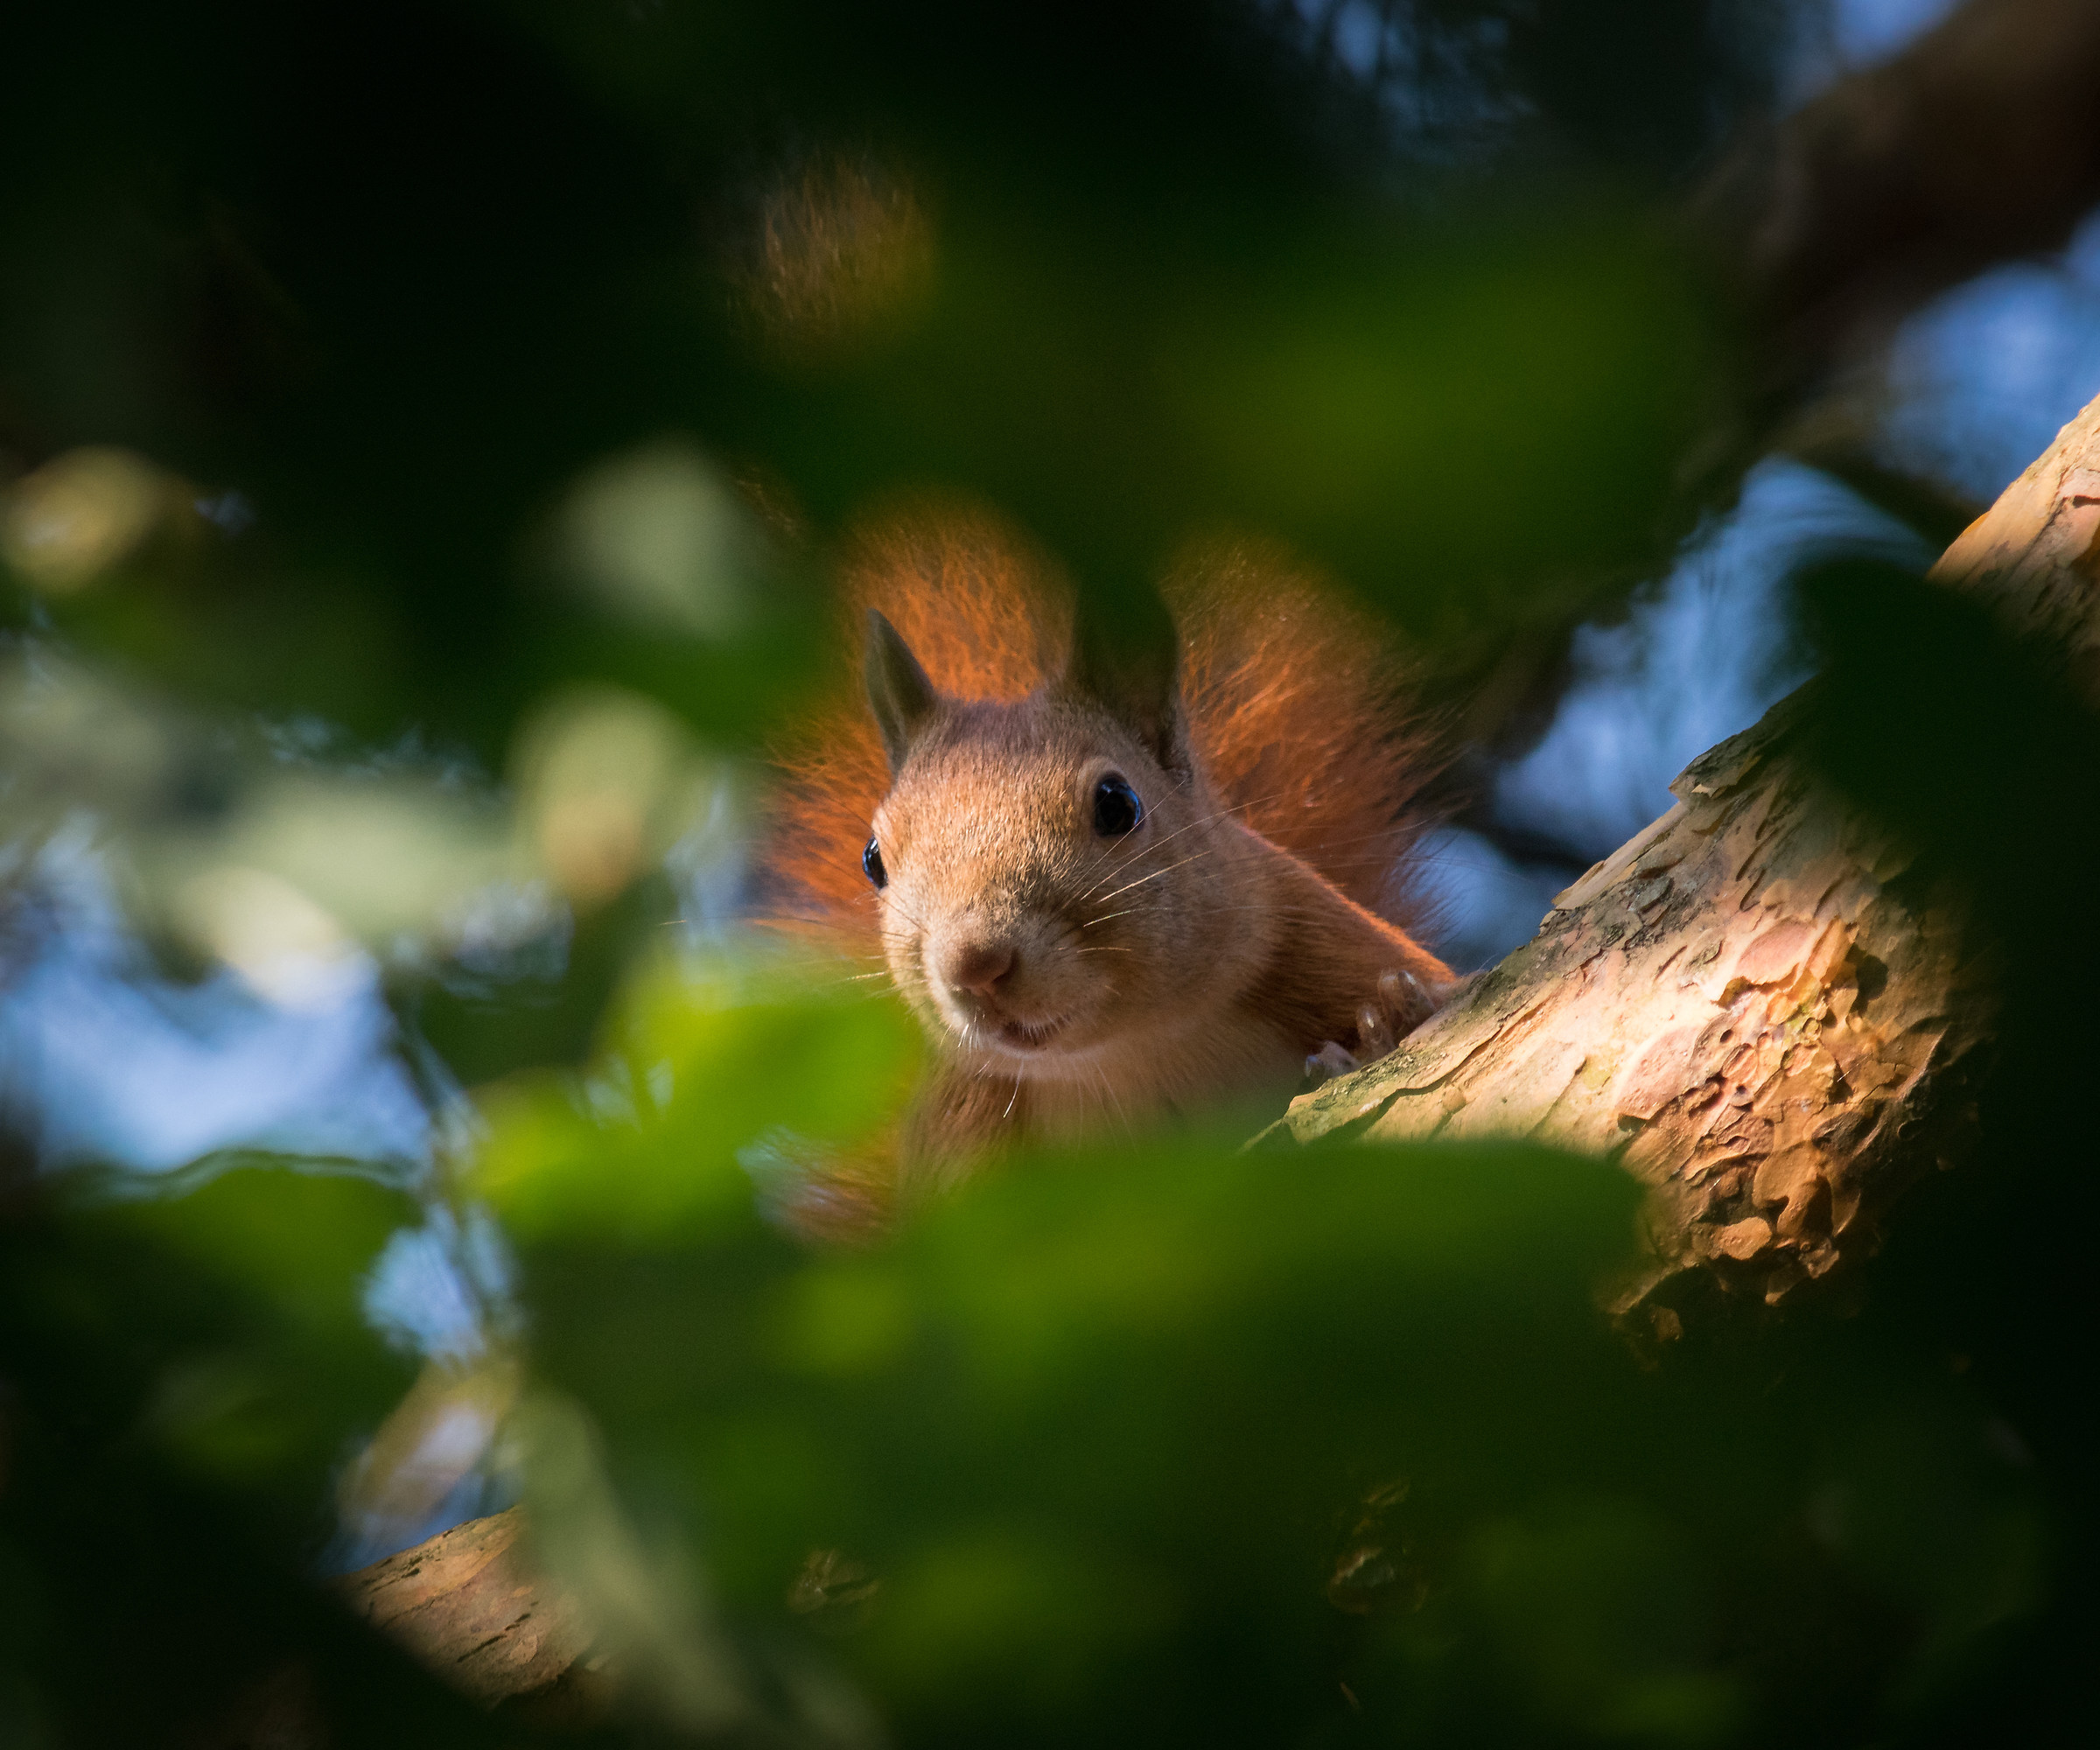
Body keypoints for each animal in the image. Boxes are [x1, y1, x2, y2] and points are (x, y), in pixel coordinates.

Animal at [760, 505, 1454, 1225]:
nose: (974, 965)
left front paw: (1387, 1025)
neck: (1132, 1055)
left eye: (1118, 804)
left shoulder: (1319, 942)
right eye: (873, 862)